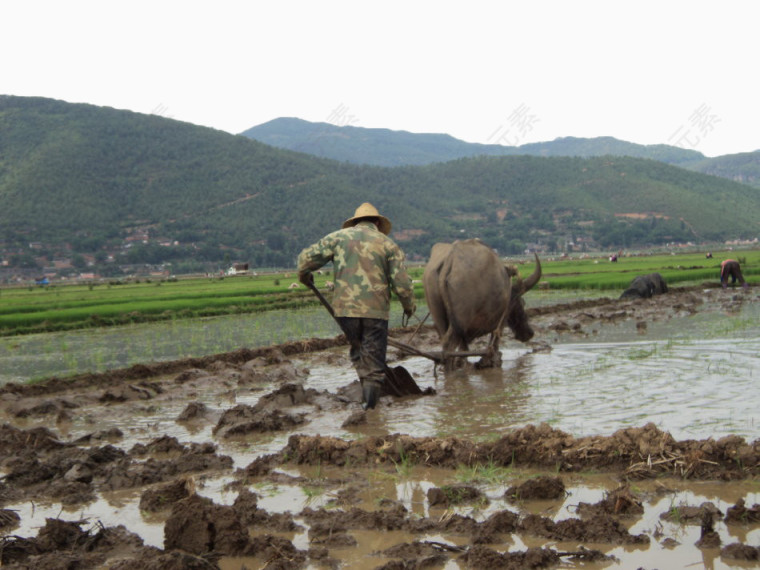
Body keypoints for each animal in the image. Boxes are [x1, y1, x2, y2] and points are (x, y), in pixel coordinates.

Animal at [422, 239, 540, 368]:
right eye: (522, 303)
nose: (529, 333)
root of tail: (450, 259)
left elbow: (464, 350)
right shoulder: (500, 321)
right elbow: (494, 343)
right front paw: (490, 361)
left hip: (440, 317)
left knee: (447, 345)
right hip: (460, 322)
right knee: (449, 348)